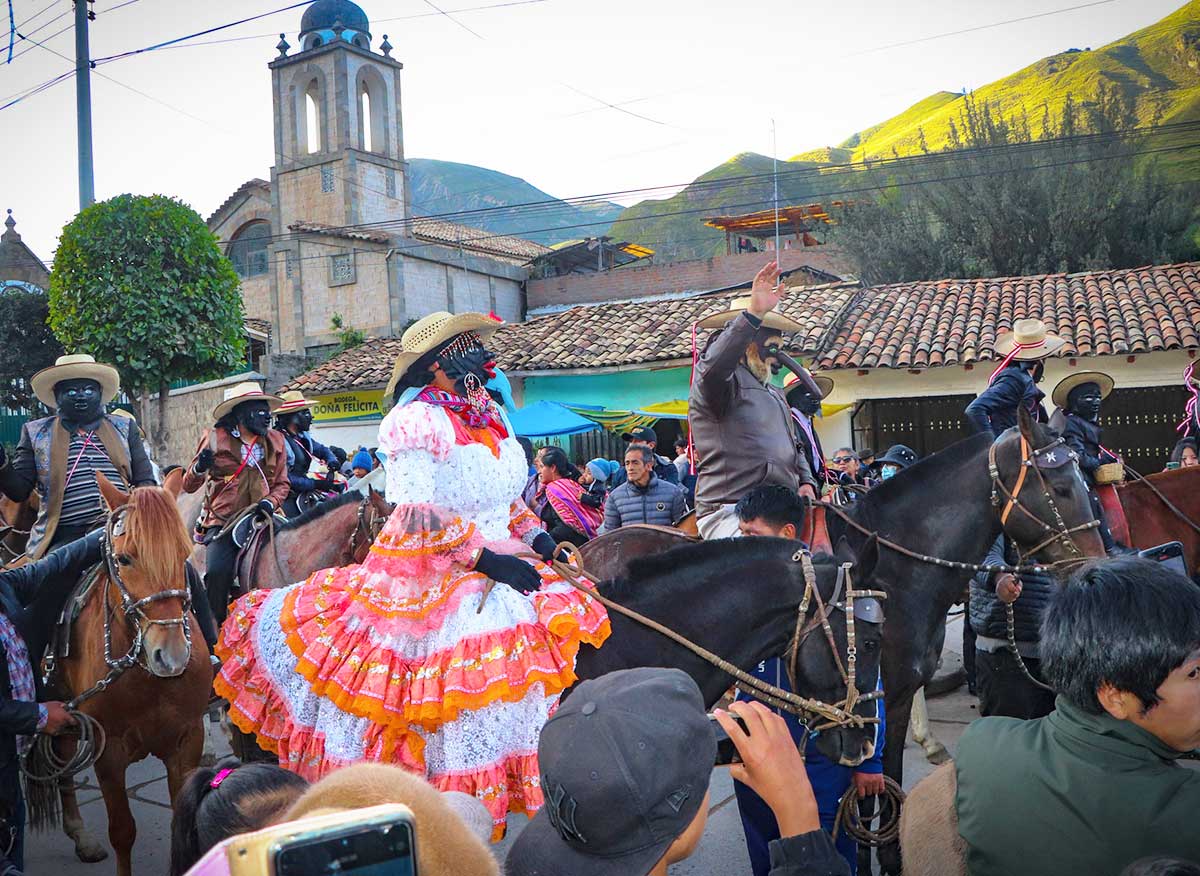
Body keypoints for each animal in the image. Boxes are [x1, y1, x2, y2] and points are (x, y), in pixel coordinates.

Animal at [29, 470, 213, 873]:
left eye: (183, 554)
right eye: (125, 559)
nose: (171, 656)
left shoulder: (187, 740)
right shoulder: (108, 750)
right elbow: (123, 831)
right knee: (63, 764)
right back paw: (80, 834)